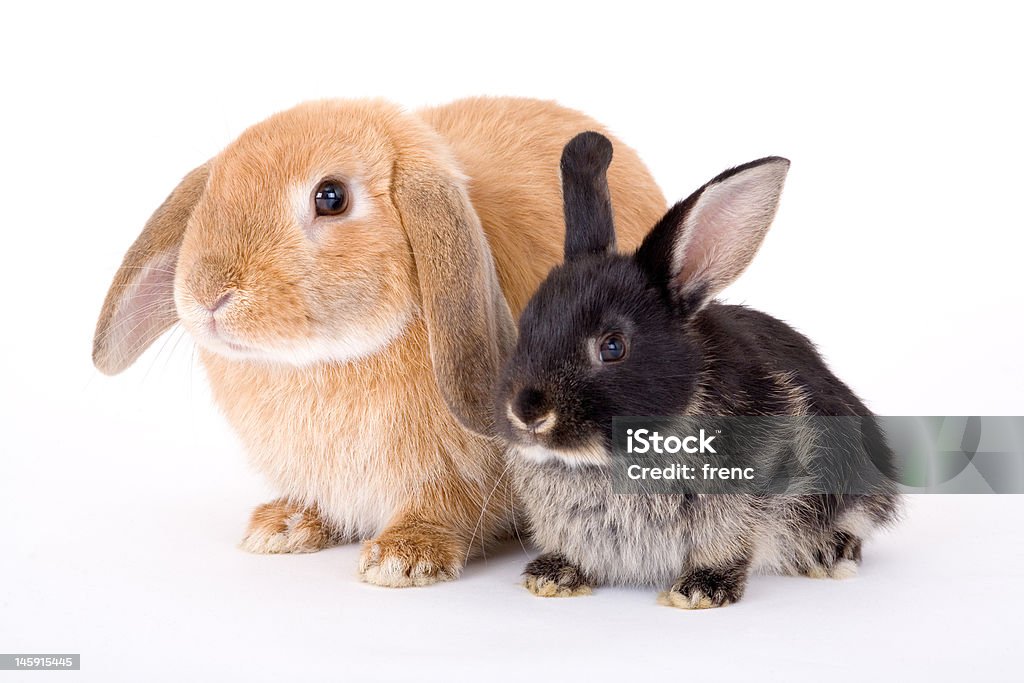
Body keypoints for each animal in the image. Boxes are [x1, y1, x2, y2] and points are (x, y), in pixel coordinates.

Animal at [92, 97, 667, 589]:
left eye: (330, 197)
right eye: (212, 191)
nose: (210, 295)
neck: (328, 360)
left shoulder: (455, 476)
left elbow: (443, 509)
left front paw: (402, 558)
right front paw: (285, 526)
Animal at [495, 133, 905, 610]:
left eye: (612, 346)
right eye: (526, 326)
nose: (527, 414)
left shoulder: (741, 501)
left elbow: (727, 546)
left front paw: (700, 590)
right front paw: (552, 576)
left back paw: (829, 556)